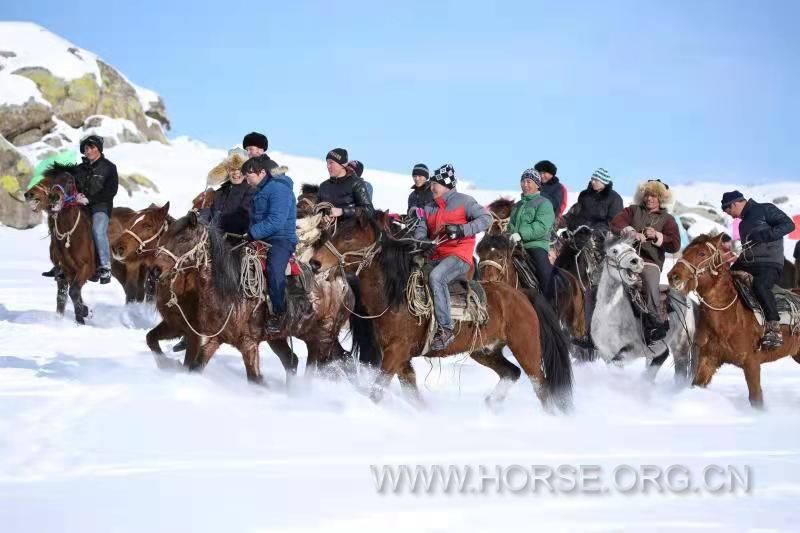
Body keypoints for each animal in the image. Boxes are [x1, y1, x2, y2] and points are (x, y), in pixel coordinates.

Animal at [23, 172, 155, 302]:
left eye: (70, 181)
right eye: (49, 179)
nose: (29, 194)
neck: (69, 235)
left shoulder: (85, 269)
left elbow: (74, 291)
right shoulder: (65, 273)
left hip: (132, 266)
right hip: (119, 268)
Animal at [310, 210, 572, 410]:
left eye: (348, 236)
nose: (314, 263)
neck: (395, 295)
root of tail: (523, 295)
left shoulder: (396, 352)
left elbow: (377, 390)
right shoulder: (400, 358)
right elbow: (412, 393)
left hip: (526, 349)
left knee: (541, 386)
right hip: (485, 350)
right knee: (512, 373)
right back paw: (491, 404)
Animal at [592, 236, 696, 382]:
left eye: (633, 249)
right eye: (614, 250)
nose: (636, 261)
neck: (609, 314)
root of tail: (686, 299)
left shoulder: (632, 349)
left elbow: (618, 360)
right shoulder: (605, 353)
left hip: (681, 345)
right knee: (662, 356)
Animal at [668, 234, 800, 408]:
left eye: (702, 253)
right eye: (685, 251)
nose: (673, 276)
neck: (727, 317)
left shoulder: (751, 363)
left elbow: (756, 399)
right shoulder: (708, 359)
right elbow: (697, 383)